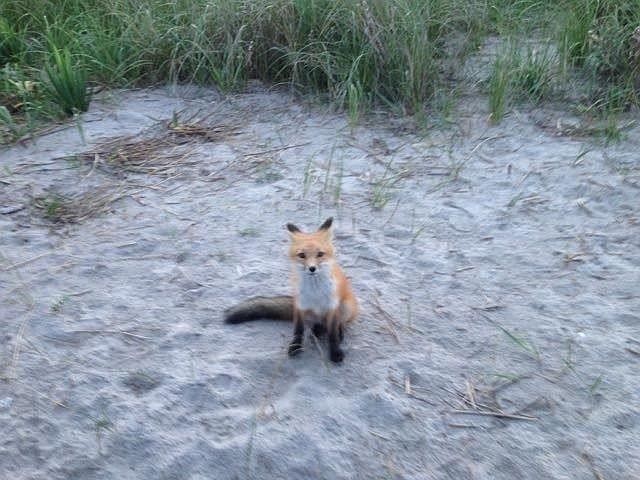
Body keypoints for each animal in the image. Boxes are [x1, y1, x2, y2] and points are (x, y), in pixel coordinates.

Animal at [224, 216, 356, 362]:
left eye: (320, 254)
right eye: (302, 255)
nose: (312, 268)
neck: (315, 291)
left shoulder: (332, 307)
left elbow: (333, 335)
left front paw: (335, 352)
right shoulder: (300, 305)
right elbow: (298, 330)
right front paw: (296, 346)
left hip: (345, 307)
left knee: (339, 323)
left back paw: (336, 331)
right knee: (316, 324)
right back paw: (317, 331)